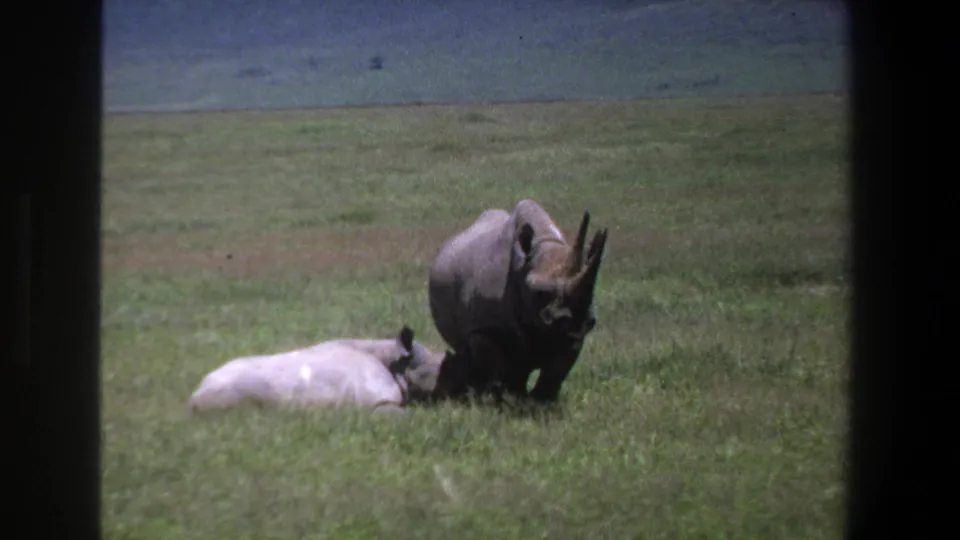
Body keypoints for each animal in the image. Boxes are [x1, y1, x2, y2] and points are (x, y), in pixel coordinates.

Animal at [428, 199, 608, 403]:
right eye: (539, 293)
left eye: (591, 292)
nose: (576, 320)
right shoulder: (483, 328)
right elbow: (498, 368)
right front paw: (504, 401)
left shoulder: (573, 335)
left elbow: (556, 372)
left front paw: (542, 403)